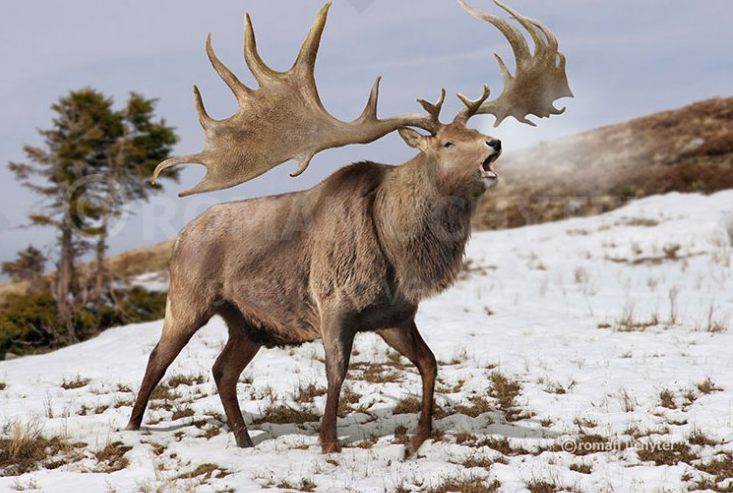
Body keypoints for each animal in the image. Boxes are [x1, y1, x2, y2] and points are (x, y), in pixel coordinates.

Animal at [126, 0, 572, 454]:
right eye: (447, 142)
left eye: (475, 130)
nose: (494, 143)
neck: (400, 254)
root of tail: (180, 237)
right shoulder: (333, 301)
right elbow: (337, 371)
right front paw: (328, 441)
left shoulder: (395, 315)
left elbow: (429, 362)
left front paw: (420, 435)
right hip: (188, 297)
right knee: (157, 358)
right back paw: (133, 426)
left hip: (248, 323)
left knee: (222, 370)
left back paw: (245, 440)